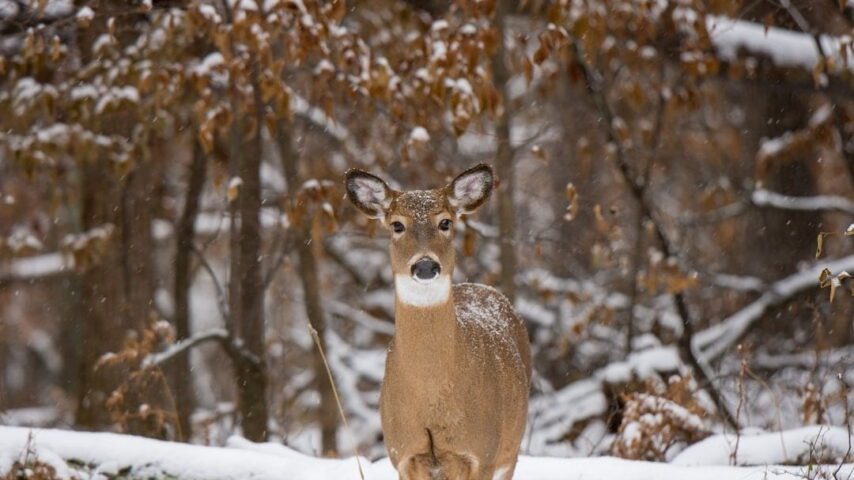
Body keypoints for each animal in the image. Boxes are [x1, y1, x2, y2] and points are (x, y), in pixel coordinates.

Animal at [344, 163, 532, 478]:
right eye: (397, 225)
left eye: (445, 222)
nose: (425, 265)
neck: (431, 395)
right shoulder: (403, 454)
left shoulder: (482, 453)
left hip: (510, 448)